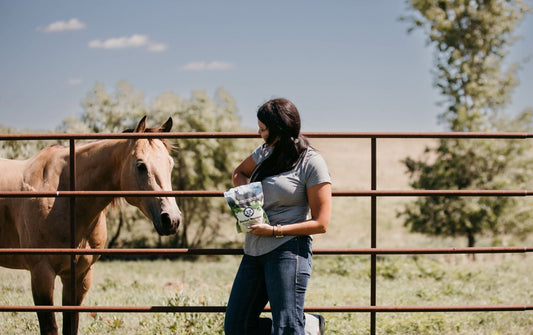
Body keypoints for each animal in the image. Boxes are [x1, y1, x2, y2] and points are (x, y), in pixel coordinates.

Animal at [0, 117, 181, 334]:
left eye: (170, 164)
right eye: (140, 166)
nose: (171, 219)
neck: (65, 197)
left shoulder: (79, 276)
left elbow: (71, 325)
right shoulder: (41, 273)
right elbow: (50, 327)